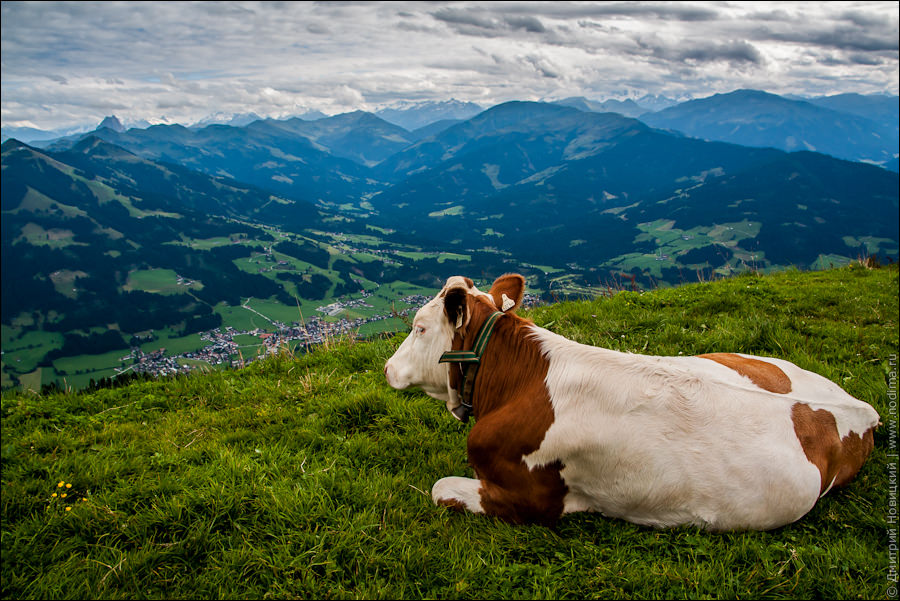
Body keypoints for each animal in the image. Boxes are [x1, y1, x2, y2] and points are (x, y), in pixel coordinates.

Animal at [383, 273, 880, 530]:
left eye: (420, 327)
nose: (387, 367)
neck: (517, 382)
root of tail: (862, 409)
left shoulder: (530, 500)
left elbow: (440, 488)